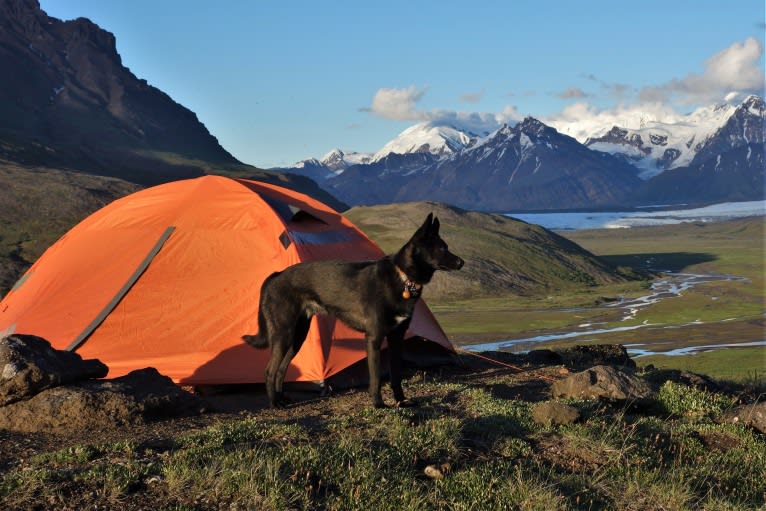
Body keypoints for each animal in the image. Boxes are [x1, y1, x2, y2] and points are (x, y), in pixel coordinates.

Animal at [243, 214, 464, 410]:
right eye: (442, 248)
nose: (462, 263)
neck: (403, 279)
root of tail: (276, 275)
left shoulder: (396, 338)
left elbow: (396, 375)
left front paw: (401, 401)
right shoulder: (374, 338)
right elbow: (376, 377)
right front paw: (378, 404)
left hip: (298, 336)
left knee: (281, 370)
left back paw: (282, 398)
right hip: (284, 334)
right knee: (270, 371)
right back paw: (274, 403)